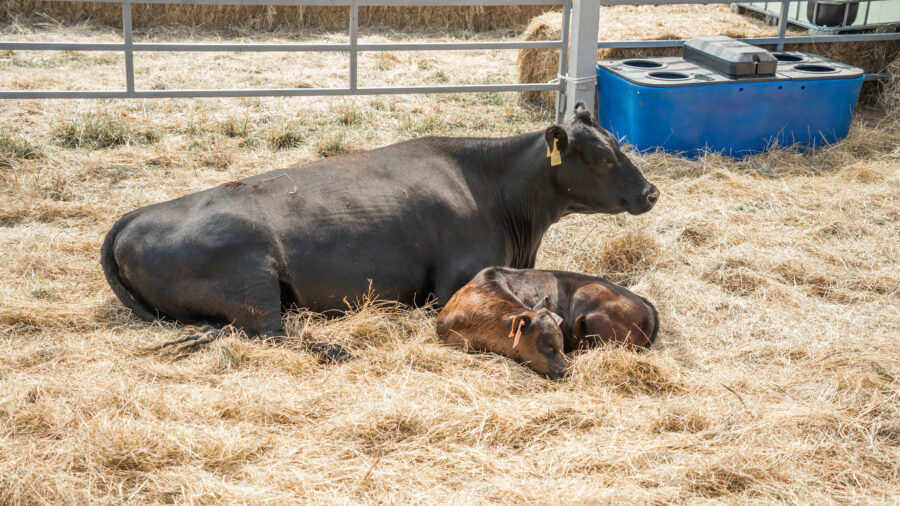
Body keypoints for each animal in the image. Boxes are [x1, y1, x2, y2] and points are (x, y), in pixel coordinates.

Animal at [102, 103, 656, 344]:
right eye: (604, 158)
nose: (651, 191)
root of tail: (133, 218)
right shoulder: (455, 281)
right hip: (252, 284)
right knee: (270, 333)